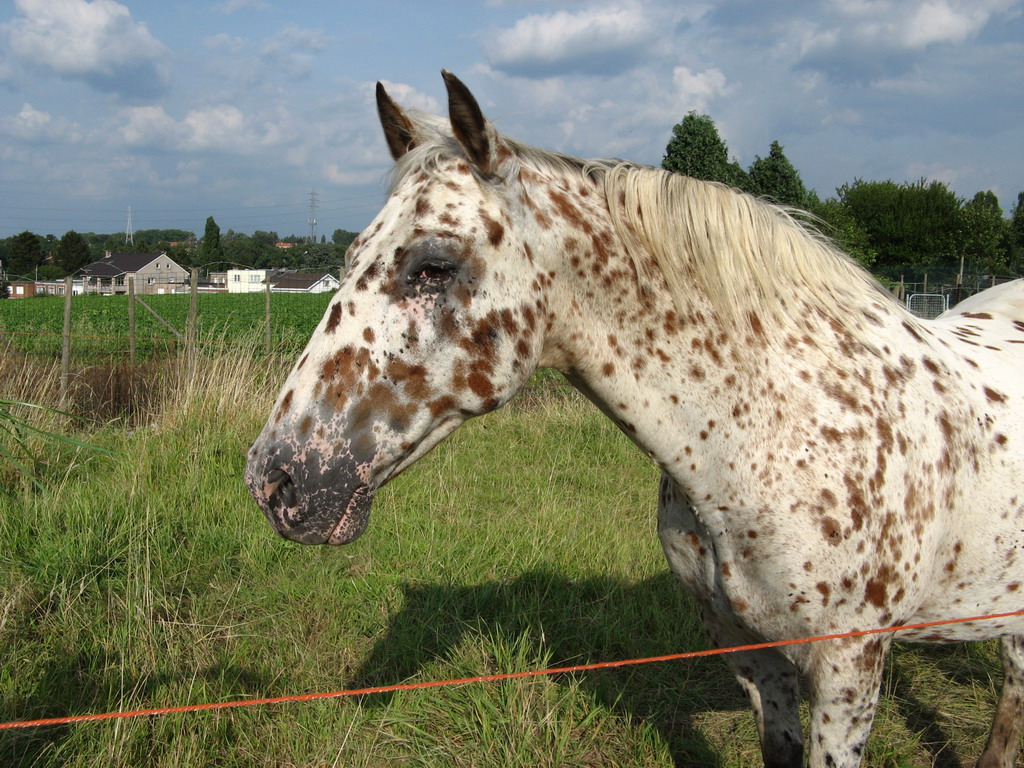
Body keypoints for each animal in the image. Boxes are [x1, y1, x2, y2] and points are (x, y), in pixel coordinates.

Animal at [247, 69, 1024, 765]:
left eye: (433, 266)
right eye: (350, 255)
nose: (275, 481)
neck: (775, 434)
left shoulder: (848, 669)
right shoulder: (750, 654)